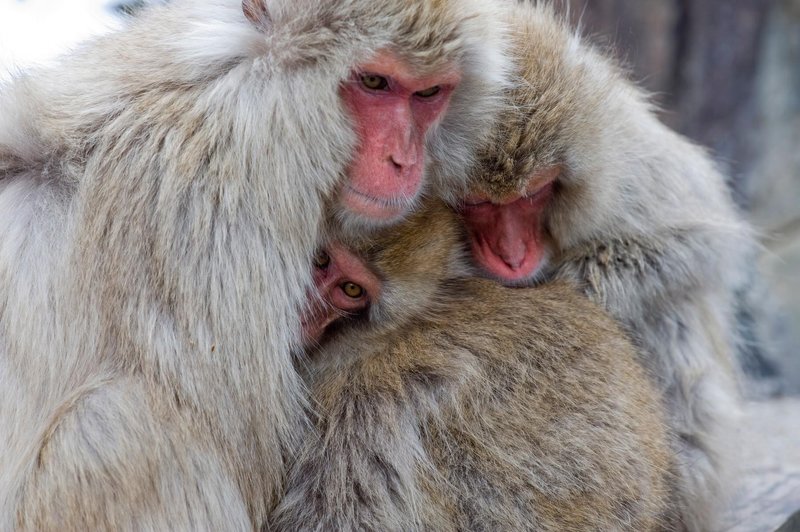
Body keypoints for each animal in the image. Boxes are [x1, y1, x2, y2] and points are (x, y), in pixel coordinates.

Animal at [456, 3, 752, 528]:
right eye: (477, 204)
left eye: (534, 194)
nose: (513, 256)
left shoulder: (623, 152)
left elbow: (698, 239)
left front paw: (570, 287)